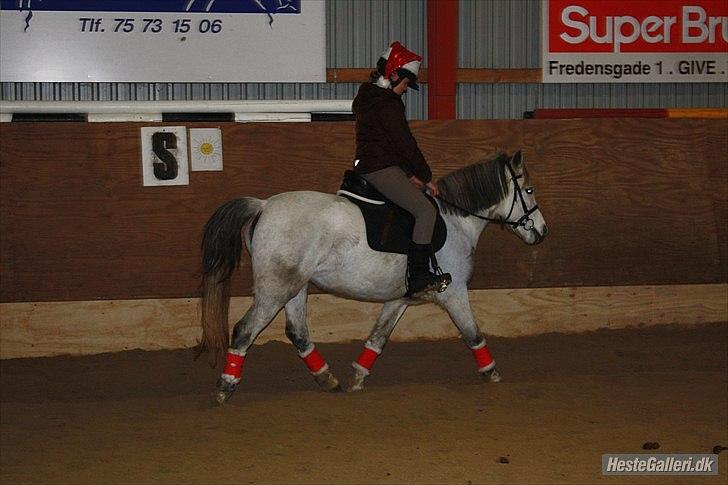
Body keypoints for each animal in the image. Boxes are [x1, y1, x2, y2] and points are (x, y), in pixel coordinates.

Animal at [198, 150, 544, 400]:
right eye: (528, 189)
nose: (541, 231)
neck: (457, 221)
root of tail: (263, 205)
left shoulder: (400, 298)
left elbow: (378, 338)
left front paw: (357, 377)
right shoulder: (455, 293)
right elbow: (473, 334)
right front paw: (493, 374)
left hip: (295, 287)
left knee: (297, 332)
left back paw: (328, 379)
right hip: (276, 290)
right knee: (245, 330)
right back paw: (226, 386)